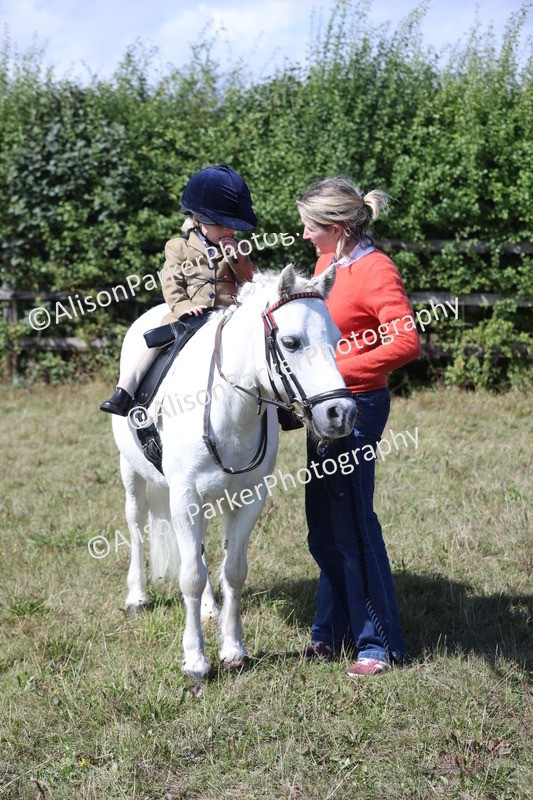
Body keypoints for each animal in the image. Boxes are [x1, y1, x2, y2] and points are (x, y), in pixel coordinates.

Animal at [111, 263, 356, 679]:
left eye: (337, 340)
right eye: (291, 342)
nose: (340, 414)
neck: (228, 406)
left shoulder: (249, 498)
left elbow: (233, 571)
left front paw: (234, 649)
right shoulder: (184, 499)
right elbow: (191, 576)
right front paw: (195, 659)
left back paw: (209, 609)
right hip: (132, 474)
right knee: (137, 524)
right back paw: (138, 595)